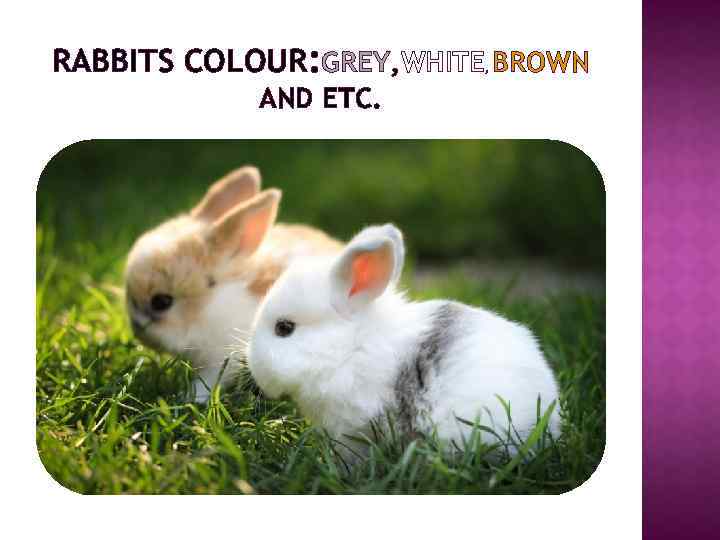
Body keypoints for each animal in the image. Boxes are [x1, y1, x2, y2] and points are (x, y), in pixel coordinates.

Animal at [125, 165, 343, 403]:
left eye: (161, 301)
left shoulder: (222, 357)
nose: (137, 328)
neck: (210, 304)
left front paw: (189, 398)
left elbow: (209, 380)